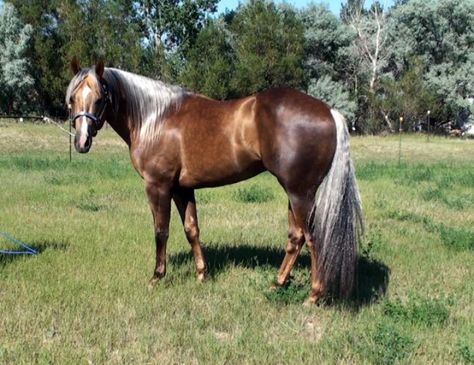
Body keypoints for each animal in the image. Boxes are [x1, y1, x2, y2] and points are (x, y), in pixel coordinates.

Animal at [65, 59, 362, 302]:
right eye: (73, 99)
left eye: (100, 97)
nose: (81, 142)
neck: (155, 119)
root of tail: (330, 112)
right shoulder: (182, 189)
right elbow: (192, 230)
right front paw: (201, 274)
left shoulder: (158, 186)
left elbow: (161, 231)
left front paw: (157, 277)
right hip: (293, 192)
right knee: (296, 237)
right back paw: (277, 284)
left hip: (301, 193)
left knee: (312, 238)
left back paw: (313, 295)